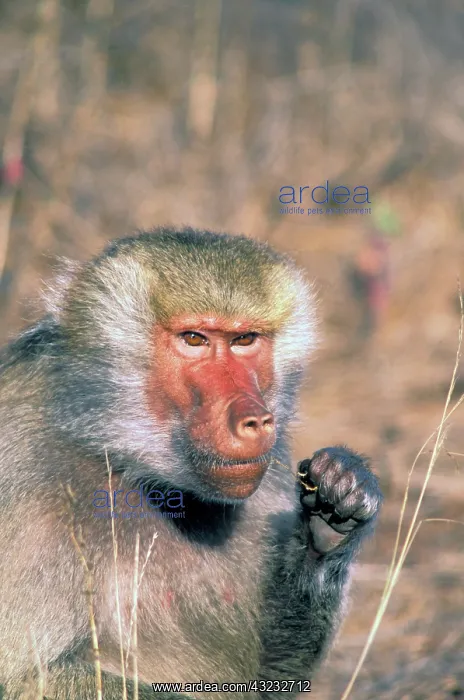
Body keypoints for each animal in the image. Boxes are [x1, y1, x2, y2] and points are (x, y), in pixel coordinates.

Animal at [0, 226, 382, 699]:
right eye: (194, 339)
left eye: (245, 340)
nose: (256, 420)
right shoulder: (28, 485)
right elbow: (28, 678)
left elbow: (274, 676)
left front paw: (336, 507)